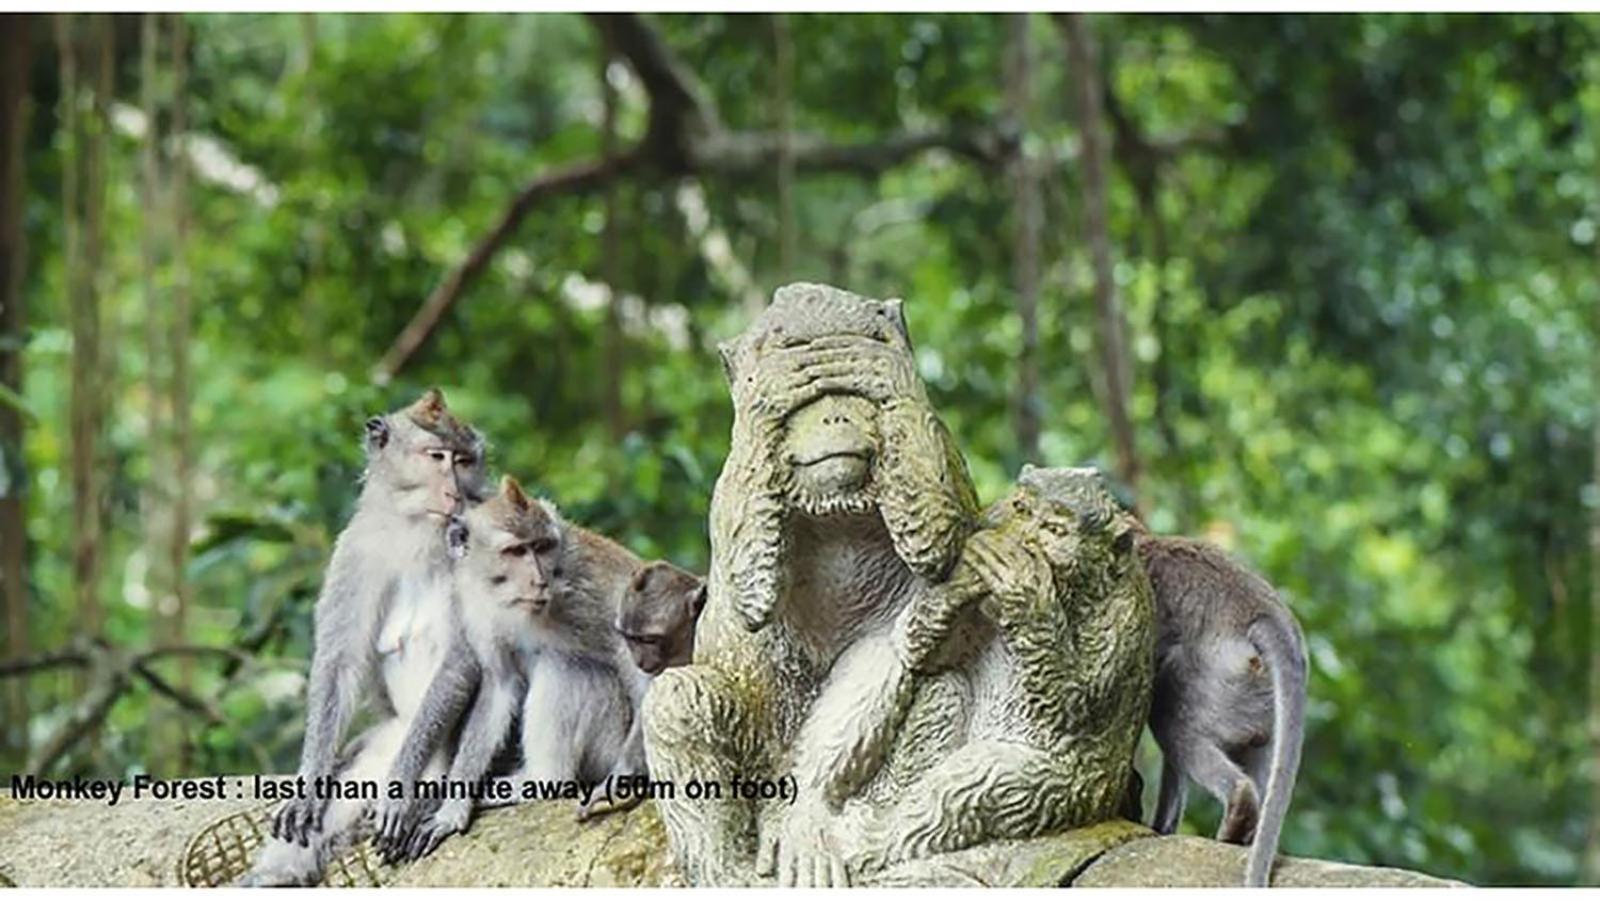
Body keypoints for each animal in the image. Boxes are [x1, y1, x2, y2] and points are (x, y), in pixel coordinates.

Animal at [240, 387, 483, 883]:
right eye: (437, 456)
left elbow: (460, 660)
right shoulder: (355, 550)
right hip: (372, 749)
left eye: (465, 461)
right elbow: (340, 662)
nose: (455, 491)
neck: (417, 533)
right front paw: (308, 786)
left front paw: (400, 792)